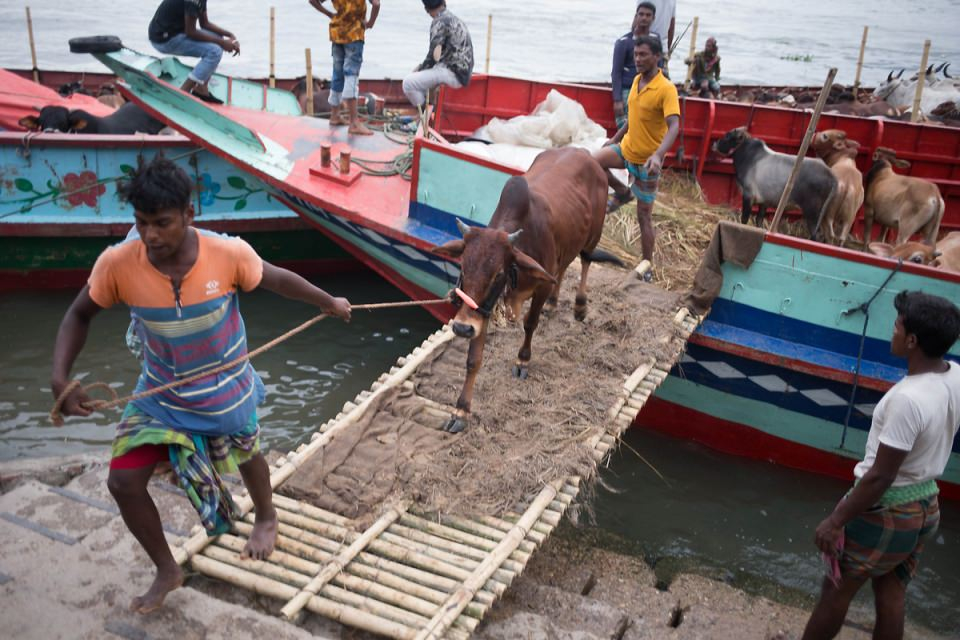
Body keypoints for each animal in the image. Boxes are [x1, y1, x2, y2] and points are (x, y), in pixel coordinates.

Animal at [434, 146, 624, 436]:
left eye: (498, 273)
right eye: (463, 267)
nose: (462, 328)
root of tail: (586, 153)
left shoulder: (538, 287)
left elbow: (530, 323)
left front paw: (522, 361)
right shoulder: (482, 309)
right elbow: (473, 359)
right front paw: (461, 411)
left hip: (594, 234)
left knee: (585, 261)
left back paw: (580, 305)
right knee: (563, 268)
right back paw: (555, 303)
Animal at [712, 127, 840, 242]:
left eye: (727, 136)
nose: (714, 144)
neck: (749, 157)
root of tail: (830, 174)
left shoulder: (748, 196)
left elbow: (744, 220)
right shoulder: (764, 202)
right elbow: (759, 220)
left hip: (812, 212)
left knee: (816, 236)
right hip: (823, 216)